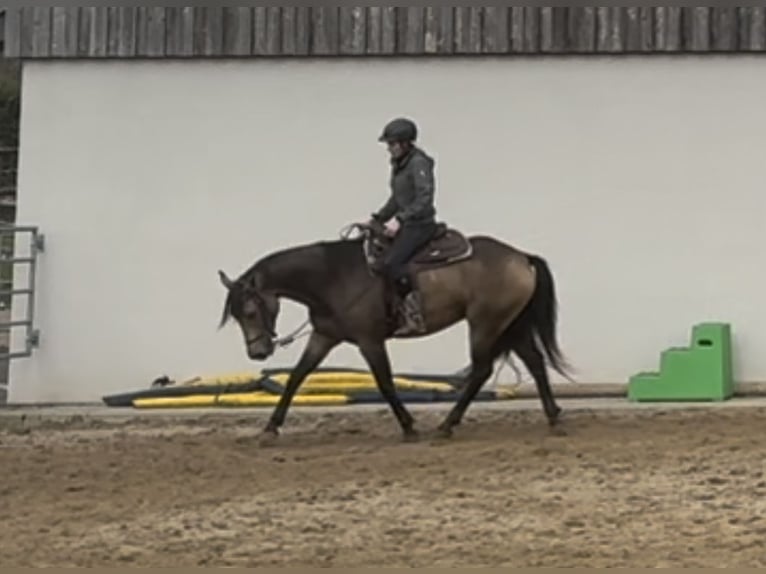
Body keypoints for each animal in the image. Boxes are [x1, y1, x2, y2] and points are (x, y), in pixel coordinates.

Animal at [219, 223, 572, 444]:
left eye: (249, 311)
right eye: (236, 316)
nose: (257, 353)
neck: (333, 277)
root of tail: (522, 257)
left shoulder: (370, 341)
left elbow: (385, 382)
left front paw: (409, 427)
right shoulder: (324, 337)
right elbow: (296, 377)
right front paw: (270, 429)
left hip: (486, 324)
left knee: (482, 370)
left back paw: (446, 425)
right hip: (510, 325)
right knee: (535, 362)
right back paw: (554, 418)